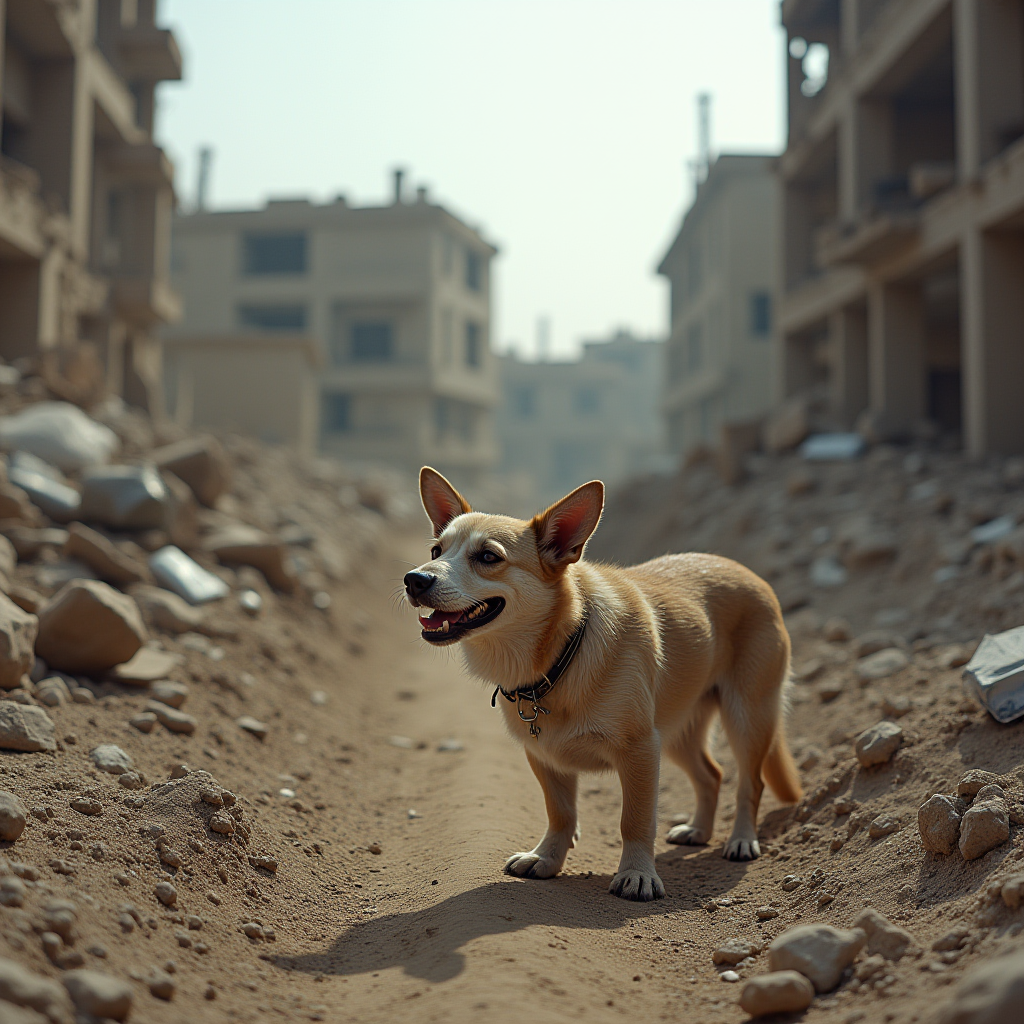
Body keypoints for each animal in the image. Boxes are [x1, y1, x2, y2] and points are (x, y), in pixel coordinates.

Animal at [403, 468, 802, 901]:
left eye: (489, 557)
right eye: (436, 551)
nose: (414, 579)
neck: (560, 652)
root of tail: (744, 570)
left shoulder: (641, 750)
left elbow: (635, 820)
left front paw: (638, 874)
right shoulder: (544, 756)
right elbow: (560, 813)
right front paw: (546, 858)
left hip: (747, 716)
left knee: (751, 782)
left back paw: (742, 839)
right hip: (677, 731)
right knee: (711, 775)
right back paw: (698, 830)